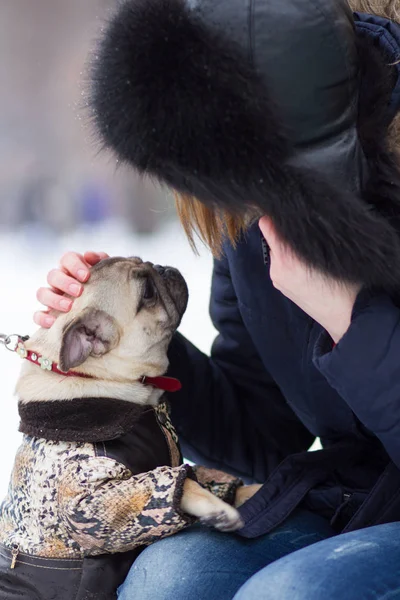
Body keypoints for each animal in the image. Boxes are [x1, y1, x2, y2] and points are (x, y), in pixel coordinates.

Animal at [0, 256, 260, 600]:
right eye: (147, 292)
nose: (162, 266)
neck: (95, 378)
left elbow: (197, 475)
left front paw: (251, 491)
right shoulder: (88, 503)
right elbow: (177, 484)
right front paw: (216, 508)